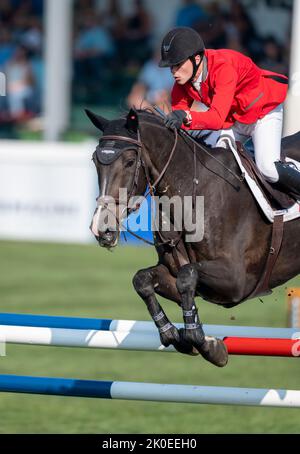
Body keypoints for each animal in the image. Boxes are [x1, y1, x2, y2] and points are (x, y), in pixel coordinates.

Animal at [84, 108, 300, 368]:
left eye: (129, 161)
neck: (193, 193)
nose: (101, 229)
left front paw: (204, 343)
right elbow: (143, 280)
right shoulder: (174, 270)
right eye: (95, 161)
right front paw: (176, 334)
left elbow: (187, 278)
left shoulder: (238, 281)